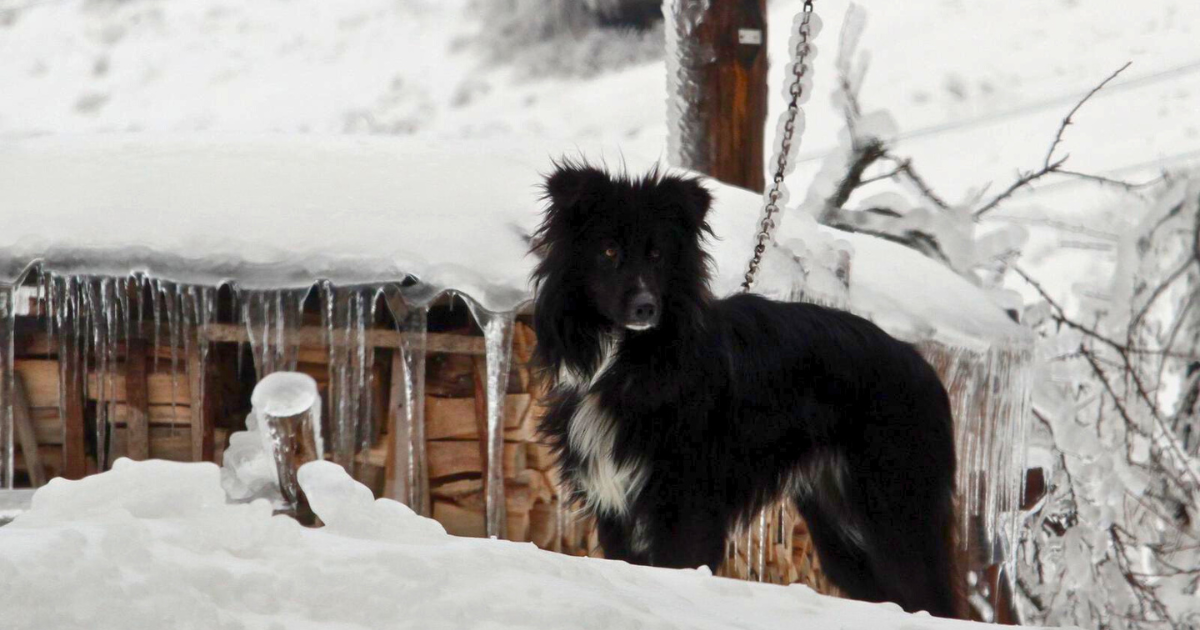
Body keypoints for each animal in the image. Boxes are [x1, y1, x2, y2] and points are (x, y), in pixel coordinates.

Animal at [530, 160, 960, 614]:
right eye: (609, 251)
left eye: (657, 254)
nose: (646, 308)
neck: (629, 356)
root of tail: (926, 370)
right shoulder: (615, 507)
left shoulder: (685, 502)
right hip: (839, 527)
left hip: (896, 505)